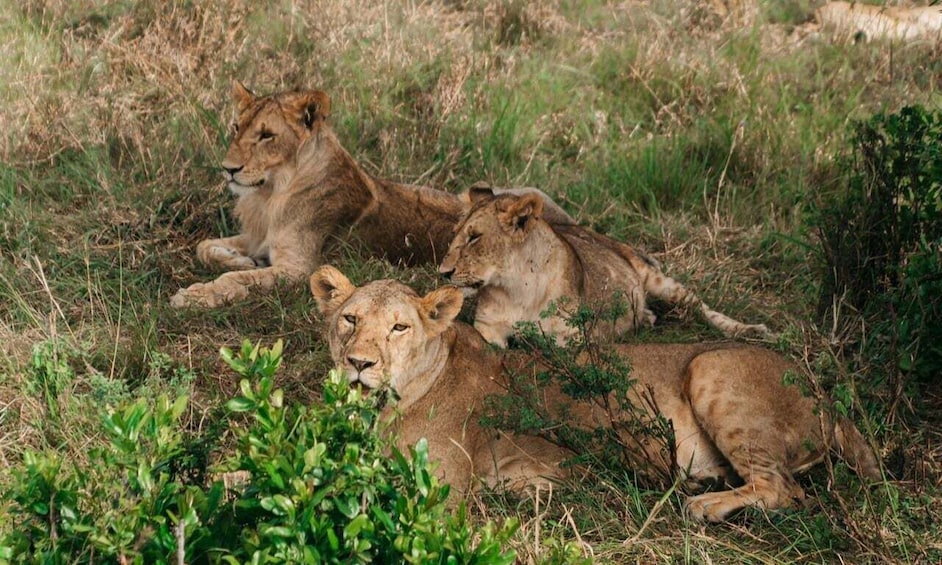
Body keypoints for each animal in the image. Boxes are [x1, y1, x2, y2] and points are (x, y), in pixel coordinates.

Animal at [170, 81, 576, 306]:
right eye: (236, 127)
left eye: (267, 135)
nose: (228, 168)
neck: (270, 195)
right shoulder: (258, 237)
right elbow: (205, 247)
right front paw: (241, 261)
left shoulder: (300, 269)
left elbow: (236, 281)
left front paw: (195, 295)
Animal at [310, 266, 884, 524]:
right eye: (350, 319)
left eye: (400, 327)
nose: (359, 363)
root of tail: (825, 392)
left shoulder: (442, 492)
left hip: (710, 366)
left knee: (785, 490)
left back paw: (702, 504)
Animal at [438, 189, 772, 346]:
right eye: (455, 234)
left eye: (474, 237)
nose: (443, 272)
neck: (515, 288)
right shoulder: (489, 327)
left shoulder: (571, 339)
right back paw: (644, 319)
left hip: (658, 280)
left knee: (702, 307)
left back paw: (752, 330)